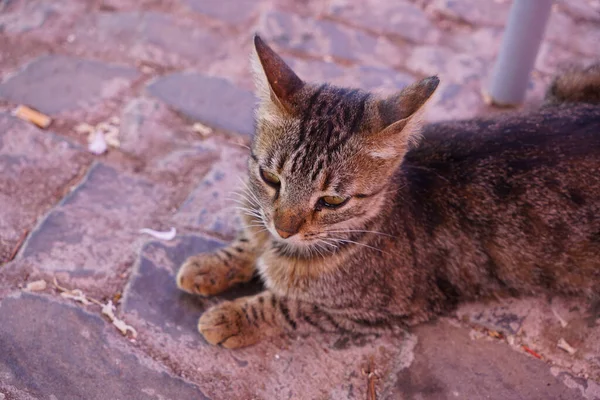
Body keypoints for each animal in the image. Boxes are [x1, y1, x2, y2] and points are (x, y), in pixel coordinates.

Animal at [176, 36, 600, 348]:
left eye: (332, 200)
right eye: (270, 177)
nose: (284, 228)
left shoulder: (375, 311)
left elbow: (290, 307)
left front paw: (232, 316)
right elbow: (250, 241)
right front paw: (211, 264)